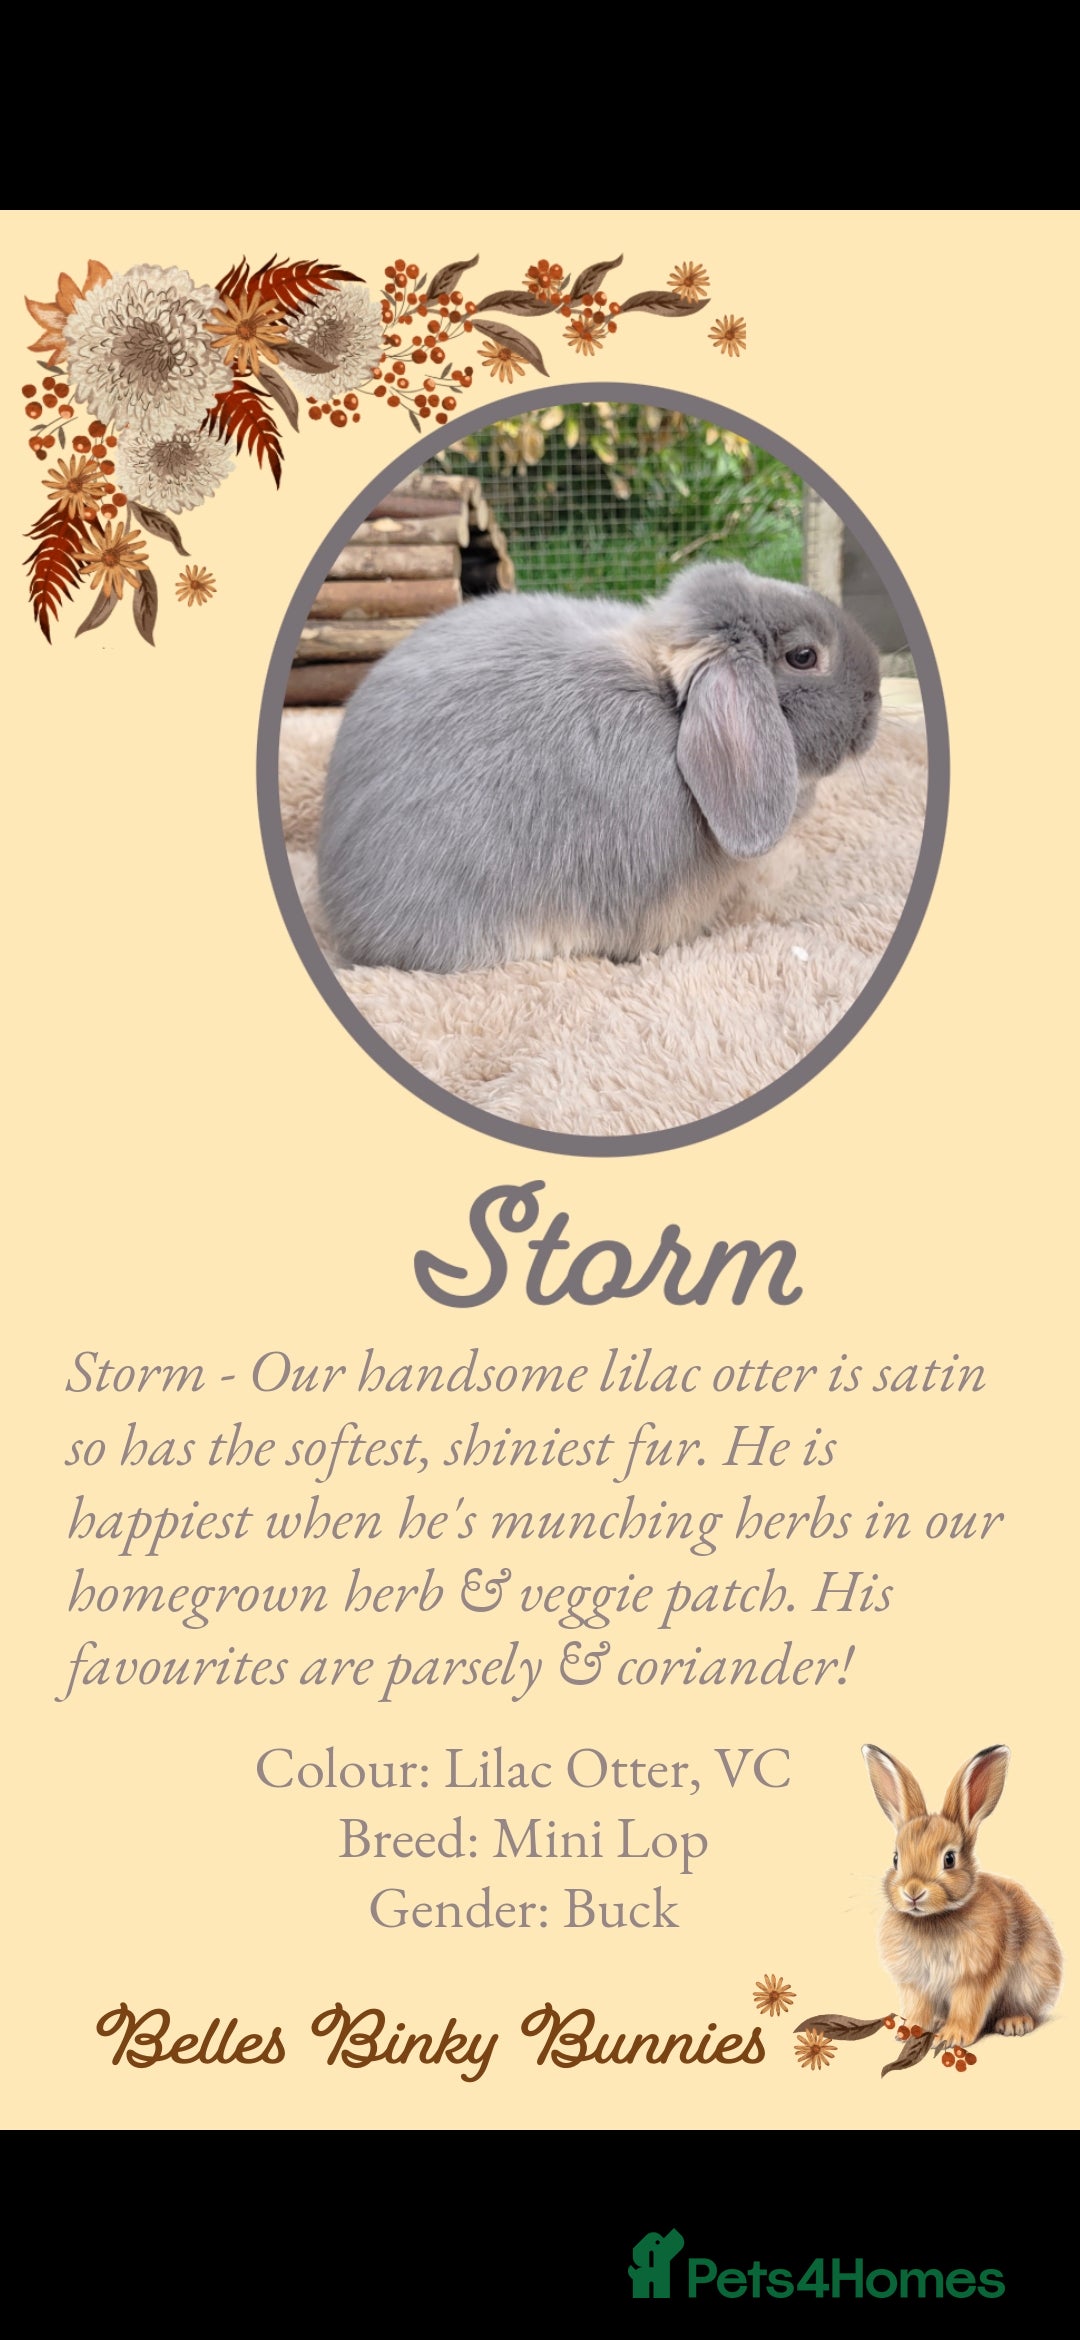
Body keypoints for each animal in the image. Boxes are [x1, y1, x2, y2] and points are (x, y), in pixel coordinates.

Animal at [863, 1743, 1062, 2049]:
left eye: (949, 1859)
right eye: (896, 1858)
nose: (912, 1891)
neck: (933, 1919)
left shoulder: (974, 1977)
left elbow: (967, 2007)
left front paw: (951, 2038)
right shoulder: (916, 1983)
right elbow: (918, 2008)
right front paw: (909, 2031)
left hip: (1031, 1980)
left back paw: (1014, 2023)